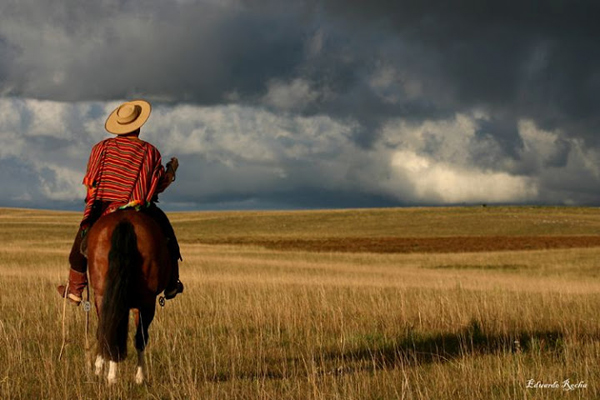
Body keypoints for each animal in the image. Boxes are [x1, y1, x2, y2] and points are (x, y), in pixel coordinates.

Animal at [84, 209, 170, 384]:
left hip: (103, 295)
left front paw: (99, 368)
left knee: (109, 329)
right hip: (146, 300)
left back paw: (110, 375)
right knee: (137, 337)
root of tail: (125, 221)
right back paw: (129, 376)